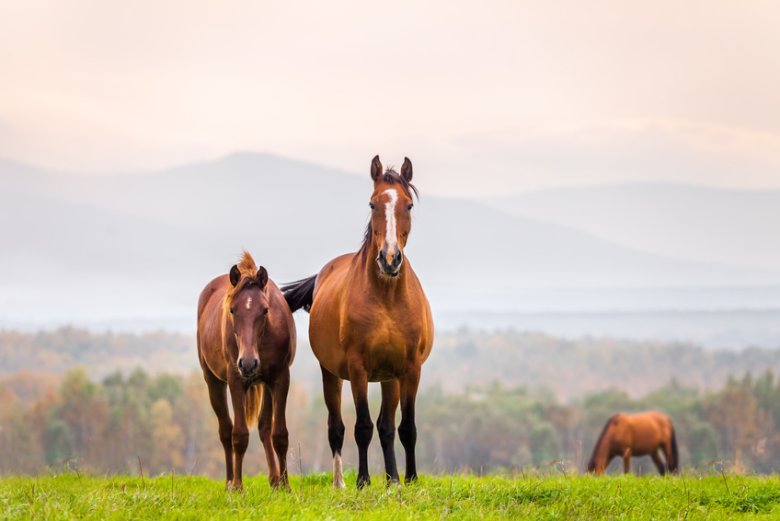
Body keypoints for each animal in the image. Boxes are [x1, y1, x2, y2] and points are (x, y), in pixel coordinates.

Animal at [197, 252, 296, 490]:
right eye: (232, 310)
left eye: (265, 310)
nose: (248, 363)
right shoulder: (235, 380)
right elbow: (239, 435)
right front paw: (239, 487)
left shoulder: (280, 379)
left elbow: (280, 434)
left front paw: (286, 487)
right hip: (213, 381)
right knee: (225, 430)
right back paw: (229, 482)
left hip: (266, 384)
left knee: (264, 428)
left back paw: (274, 480)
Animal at [283, 155, 434, 489]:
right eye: (372, 203)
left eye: (408, 205)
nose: (389, 259)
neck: (387, 299)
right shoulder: (358, 369)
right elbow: (362, 426)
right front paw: (363, 481)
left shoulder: (410, 369)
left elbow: (406, 427)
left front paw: (409, 479)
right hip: (331, 375)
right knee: (336, 427)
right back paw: (340, 483)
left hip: (390, 379)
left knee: (387, 426)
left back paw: (392, 479)